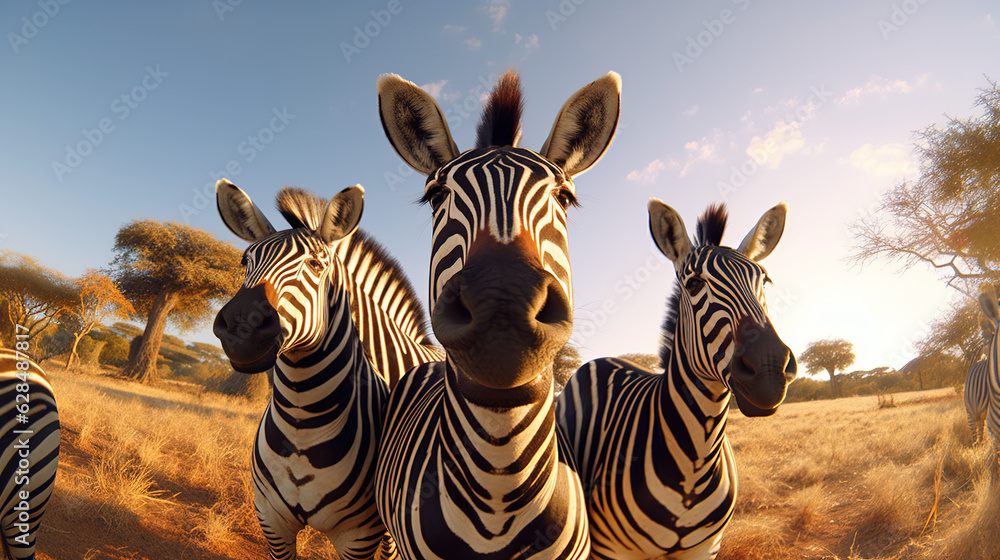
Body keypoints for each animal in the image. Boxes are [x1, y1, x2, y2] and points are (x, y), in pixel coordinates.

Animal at [213, 181, 442, 560]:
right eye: (245, 261)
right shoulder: (271, 520)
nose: (240, 328)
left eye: (316, 265)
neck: (301, 421)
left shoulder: (359, 535)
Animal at [557, 200, 796, 560]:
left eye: (764, 281)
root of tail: (602, 360)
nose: (769, 369)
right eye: (694, 284)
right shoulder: (612, 549)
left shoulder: (706, 547)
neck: (697, 457)